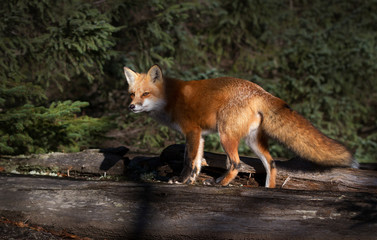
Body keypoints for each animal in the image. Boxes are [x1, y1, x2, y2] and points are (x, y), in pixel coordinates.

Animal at [123, 65, 356, 188]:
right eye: (132, 94)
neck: (171, 98)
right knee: (271, 163)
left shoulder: (192, 132)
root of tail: (260, 90)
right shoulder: (200, 135)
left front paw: (180, 181)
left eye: (146, 94)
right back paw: (268, 190)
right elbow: (197, 163)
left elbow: (188, 161)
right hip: (252, 141)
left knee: (236, 163)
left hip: (226, 135)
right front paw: (190, 182)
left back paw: (220, 183)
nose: (131, 107)